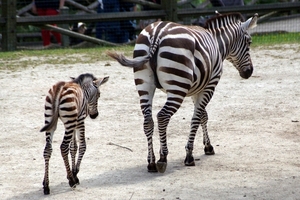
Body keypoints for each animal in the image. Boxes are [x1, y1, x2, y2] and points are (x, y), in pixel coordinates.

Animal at [107, 12, 258, 173]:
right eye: (249, 43)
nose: (249, 72)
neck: (217, 44)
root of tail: (157, 33)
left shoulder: (197, 89)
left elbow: (203, 116)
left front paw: (208, 146)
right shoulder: (210, 85)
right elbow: (196, 118)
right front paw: (189, 154)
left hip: (144, 85)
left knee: (148, 121)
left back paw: (151, 162)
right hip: (178, 87)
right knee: (162, 116)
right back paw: (162, 158)